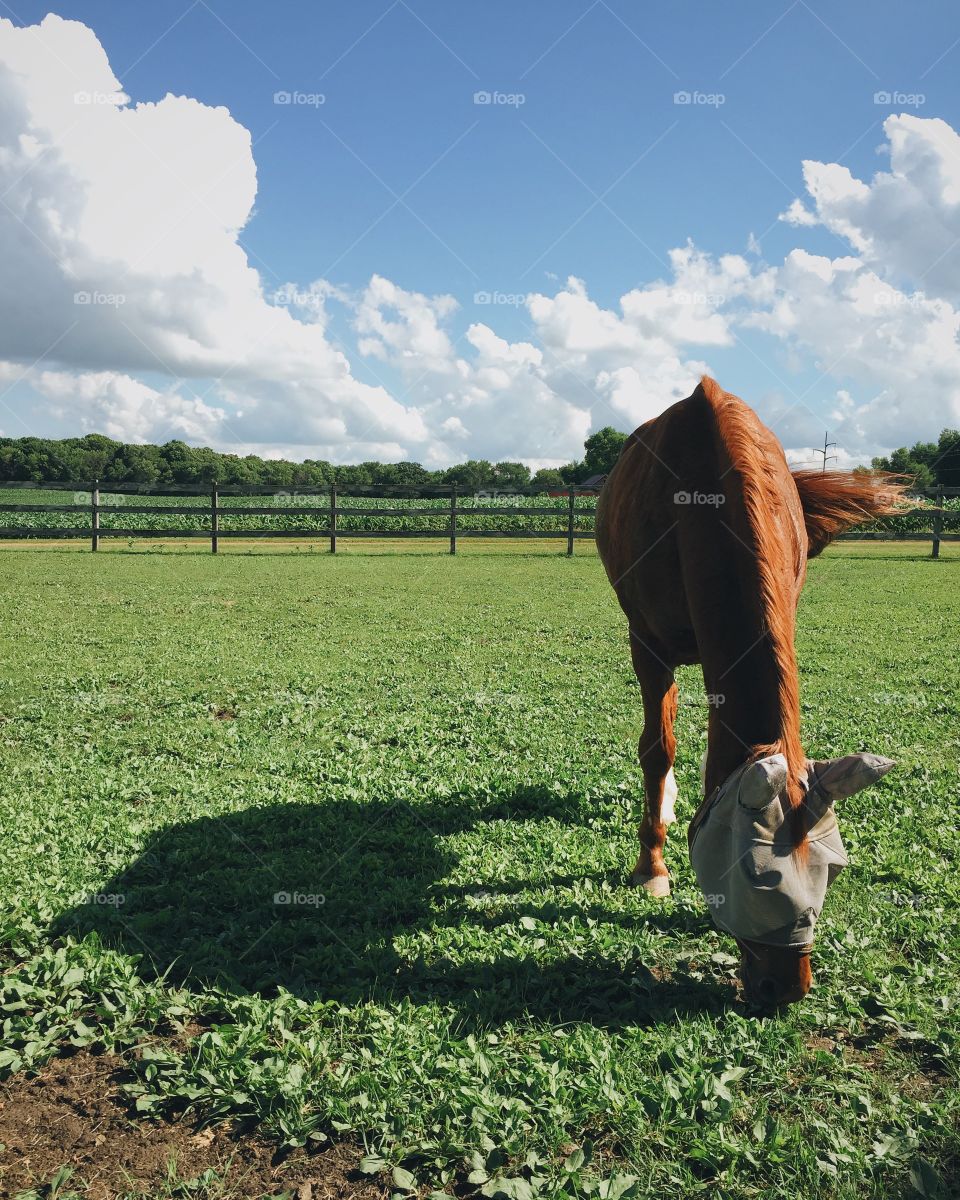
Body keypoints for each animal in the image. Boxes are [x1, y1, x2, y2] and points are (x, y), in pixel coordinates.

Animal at [595, 376, 905, 1007]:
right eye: (751, 877)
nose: (785, 988)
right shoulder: (648, 644)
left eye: (834, 870)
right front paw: (652, 866)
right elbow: (656, 748)